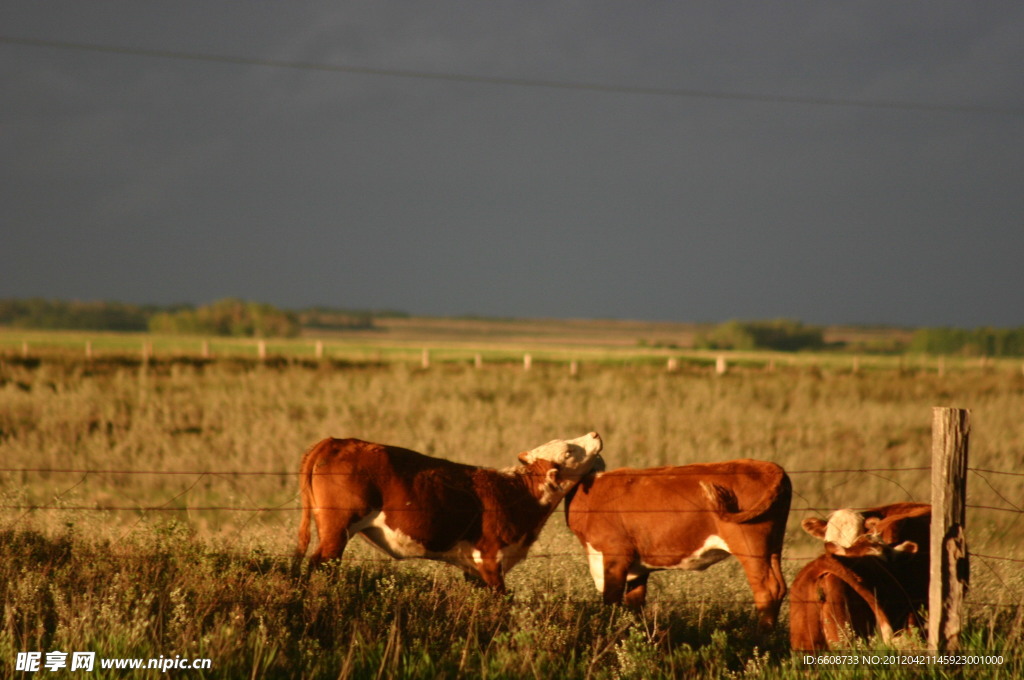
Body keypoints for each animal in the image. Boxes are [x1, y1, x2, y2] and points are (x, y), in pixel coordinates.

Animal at [292, 432, 602, 593]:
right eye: (568, 451)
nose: (594, 434)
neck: (515, 492)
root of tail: (337, 441)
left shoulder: (474, 569)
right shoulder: (490, 558)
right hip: (338, 528)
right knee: (320, 563)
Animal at [561, 458, 790, 630]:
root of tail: (769, 467)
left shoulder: (615, 555)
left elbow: (612, 599)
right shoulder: (637, 567)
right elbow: (635, 603)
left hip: (750, 545)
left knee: (767, 589)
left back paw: (759, 636)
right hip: (774, 545)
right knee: (780, 586)